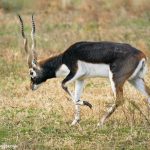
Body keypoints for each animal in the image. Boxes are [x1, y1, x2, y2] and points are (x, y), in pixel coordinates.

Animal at [17, 14, 150, 126]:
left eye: (31, 72)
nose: (31, 86)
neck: (64, 59)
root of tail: (141, 55)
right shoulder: (81, 79)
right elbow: (76, 95)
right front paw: (75, 121)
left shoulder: (75, 73)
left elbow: (64, 87)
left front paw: (88, 104)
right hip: (135, 79)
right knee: (148, 95)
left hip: (116, 80)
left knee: (119, 100)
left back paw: (100, 122)